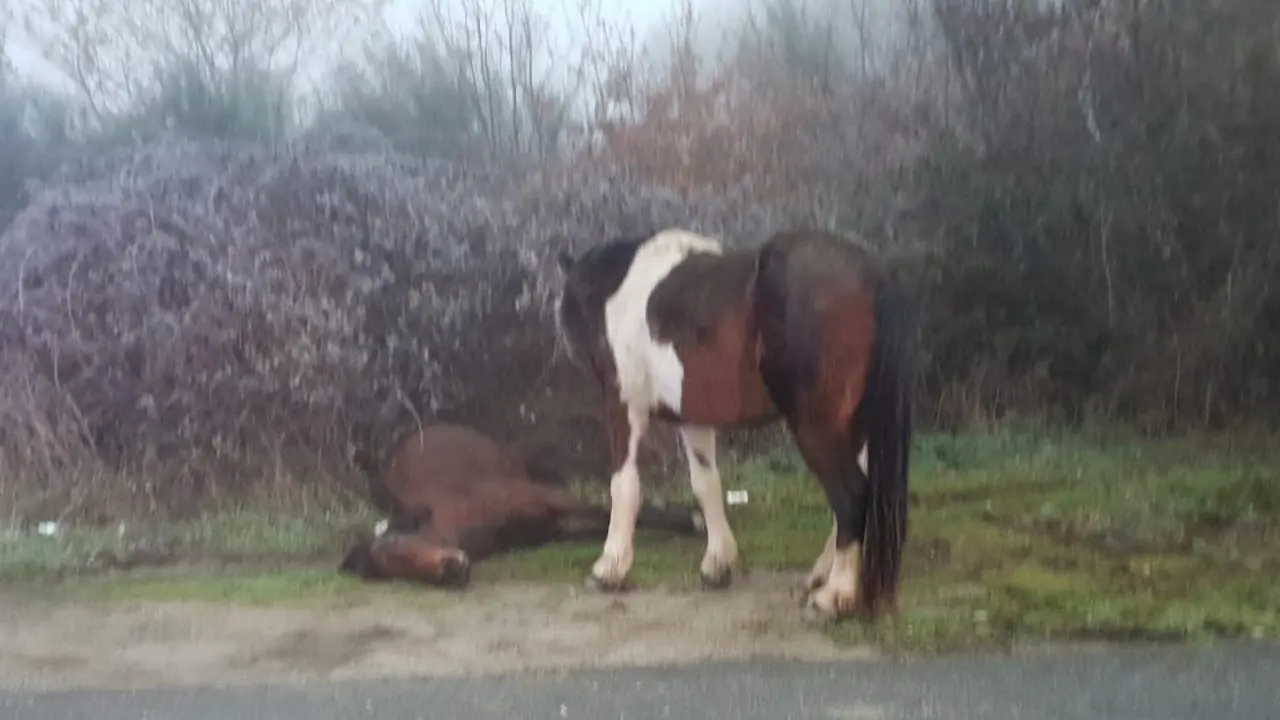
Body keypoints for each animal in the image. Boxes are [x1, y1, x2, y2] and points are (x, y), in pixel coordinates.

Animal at [339, 422, 706, 587]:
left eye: (399, 547)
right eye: (393, 573)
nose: (452, 571)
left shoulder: (545, 498)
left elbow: (614, 511)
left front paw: (695, 519)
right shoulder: (557, 524)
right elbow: (603, 520)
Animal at [554, 228, 916, 620]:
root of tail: (873, 276)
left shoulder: (625, 406)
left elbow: (624, 486)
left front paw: (610, 568)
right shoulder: (693, 417)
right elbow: (705, 483)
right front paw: (718, 563)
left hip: (817, 427)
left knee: (851, 496)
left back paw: (834, 596)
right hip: (854, 426)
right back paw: (824, 575)